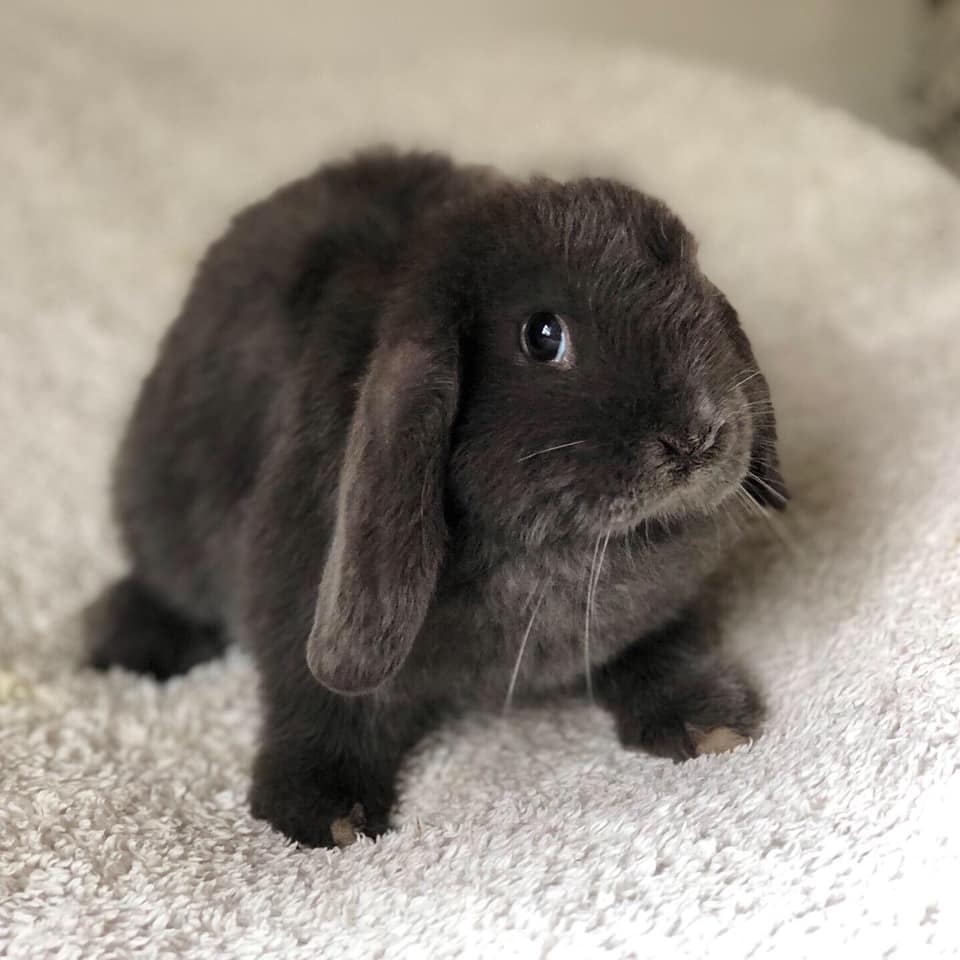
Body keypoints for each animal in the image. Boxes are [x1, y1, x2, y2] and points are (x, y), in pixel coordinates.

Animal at [88, 148, 788, 848]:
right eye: (542, 335)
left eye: (697, 292)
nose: (697, 435)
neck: (566, 551)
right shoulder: (295, 600)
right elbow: (321, 701)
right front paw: (326, 814)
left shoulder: (651, 613)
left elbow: (662, 645)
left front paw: (709, 721)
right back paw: (128, 647)